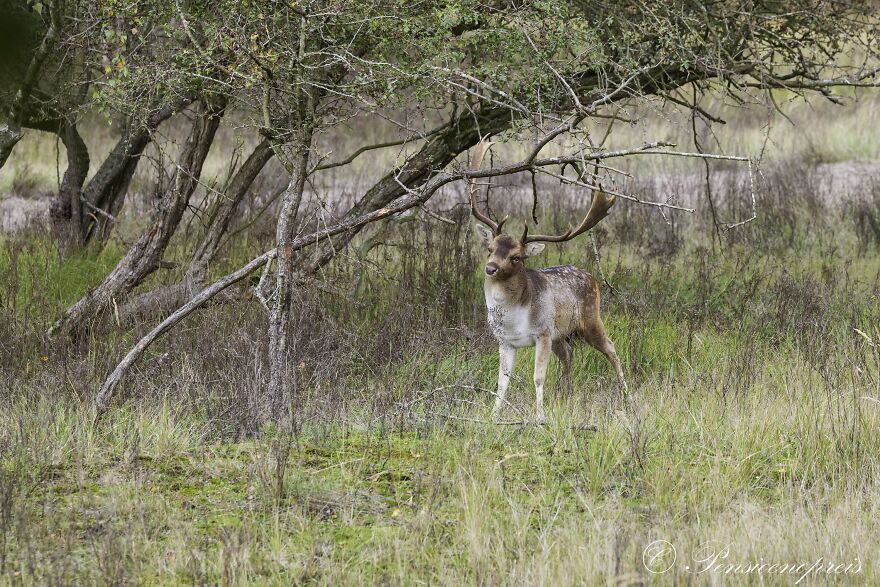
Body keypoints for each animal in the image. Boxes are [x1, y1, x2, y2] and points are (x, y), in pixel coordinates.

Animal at [468, 140, 627, 424]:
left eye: (517, 257)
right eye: (489, 248)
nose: (491, 268)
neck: (514, 318)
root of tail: (592, 277)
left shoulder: (542, 333)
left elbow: (538, 377)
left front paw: (540, 417)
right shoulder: (504, 340)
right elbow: (502, 382)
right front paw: (493, 416)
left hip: (590, 319)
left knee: (611, 347)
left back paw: (625, 395)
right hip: (561, 335)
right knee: (569, 356)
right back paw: (564, 394)